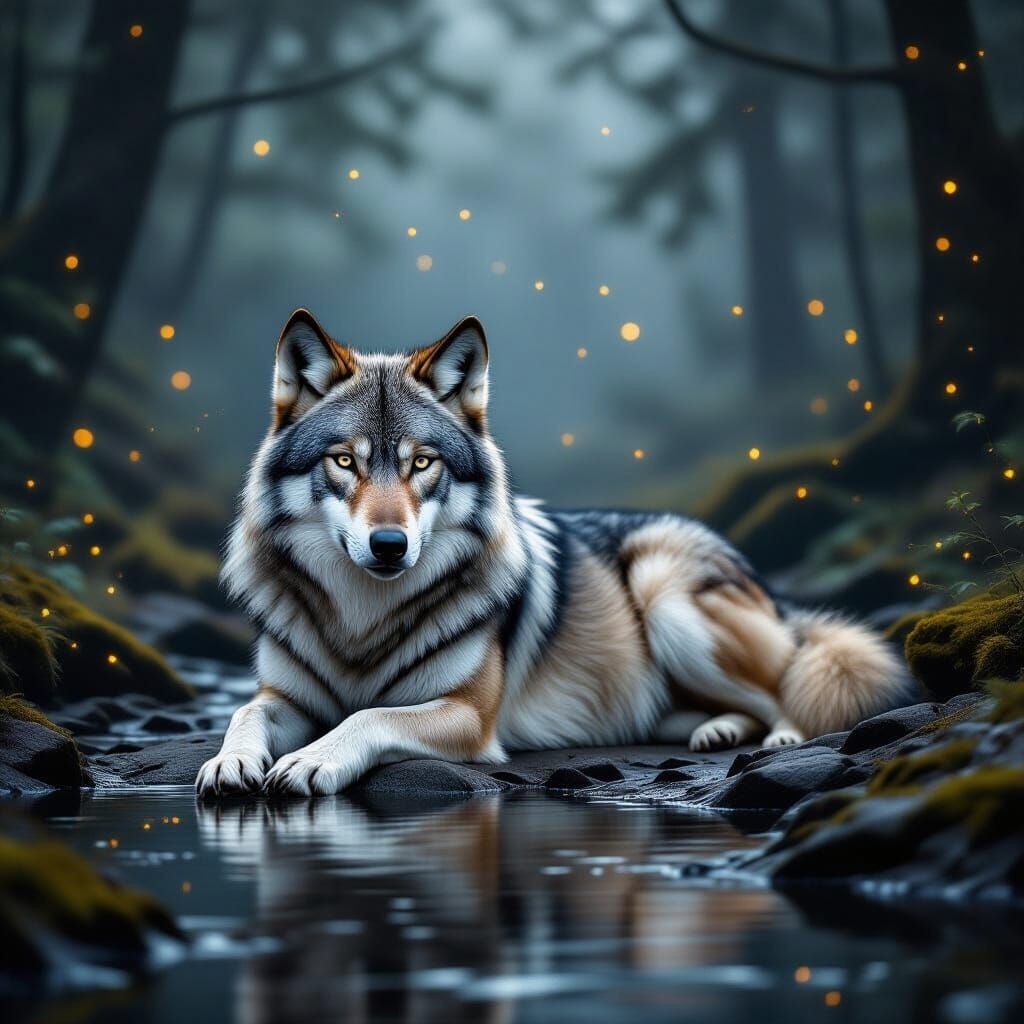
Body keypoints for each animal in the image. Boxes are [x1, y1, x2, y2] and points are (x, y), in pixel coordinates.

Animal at [196, 310, 907, 796]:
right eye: (344, 461)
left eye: (421, 463)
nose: (390, 545)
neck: (362, 622)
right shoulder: (284, 697)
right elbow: (243, 712)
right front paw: (229, 760)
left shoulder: (467, 716)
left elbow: (369, 715)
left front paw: (312, 759)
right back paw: (718, 731)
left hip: (668, 600)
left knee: (785, 688)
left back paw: (778, 737)